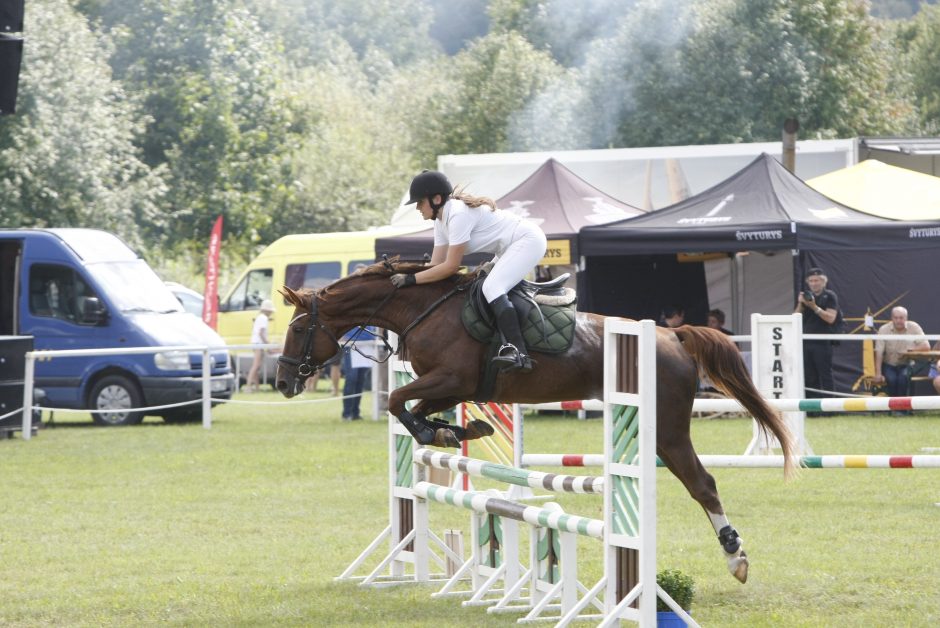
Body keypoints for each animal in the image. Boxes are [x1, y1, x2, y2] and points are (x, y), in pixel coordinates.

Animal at [276, 260, 796, 584]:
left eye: (299, 328)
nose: (282, 382)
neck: (421, 310)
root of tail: (672, 335)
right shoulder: (455, 387)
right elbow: (413, 409)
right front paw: (455, 431)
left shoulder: (452, 377)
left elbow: (399, 401)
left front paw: (439, 432)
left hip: (666, 429)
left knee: (702, 483)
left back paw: (736, 556)